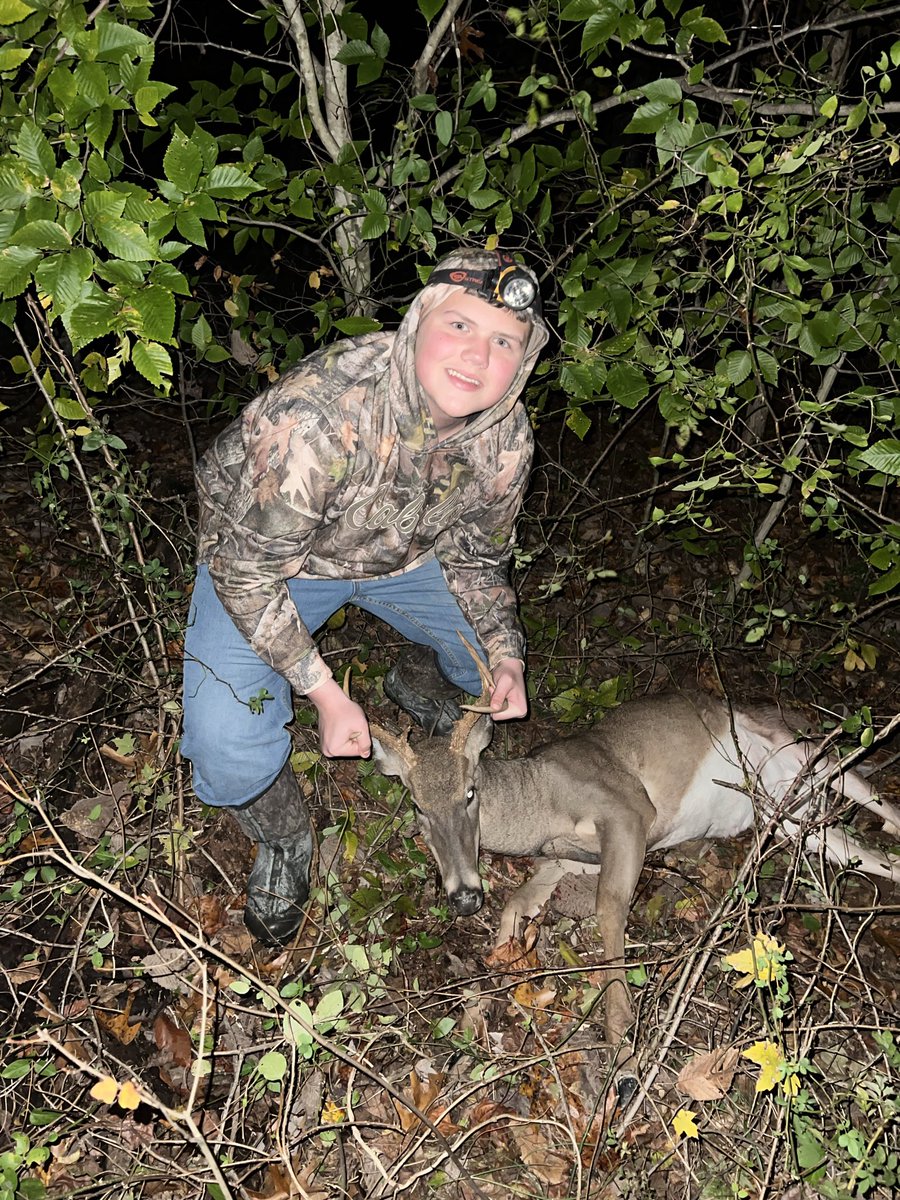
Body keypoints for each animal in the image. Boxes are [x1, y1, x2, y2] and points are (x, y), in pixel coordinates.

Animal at [369, 653, 900, 1102]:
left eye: (470, 791)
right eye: (417, 806)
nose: (462, 896)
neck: (541, 805)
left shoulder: (627, 808)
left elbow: (608, 907)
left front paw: (624, 1057)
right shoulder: (573, 856)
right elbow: (516, 905)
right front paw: (485, 992)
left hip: (807, 752)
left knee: (876, 794)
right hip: (794, 818)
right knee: (877, 857)